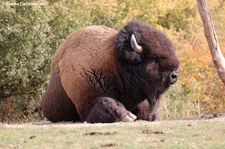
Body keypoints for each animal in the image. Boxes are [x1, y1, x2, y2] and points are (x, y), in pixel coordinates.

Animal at [40, 20, 179, 123]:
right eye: (154, 58)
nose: (174, 76)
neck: (116, 63)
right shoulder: (86, 103)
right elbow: (105, 103)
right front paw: (126, 115)